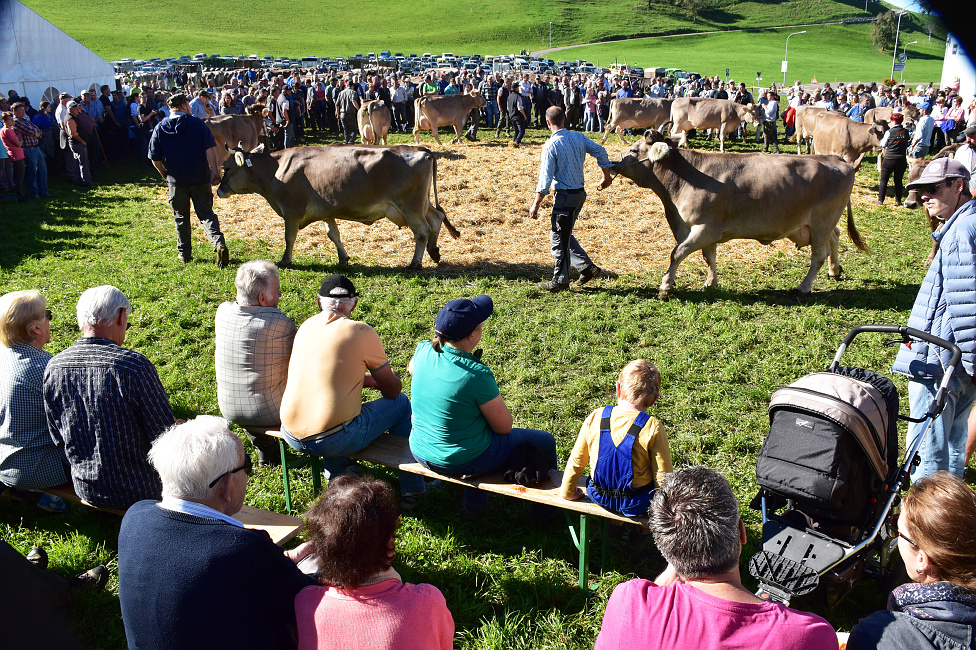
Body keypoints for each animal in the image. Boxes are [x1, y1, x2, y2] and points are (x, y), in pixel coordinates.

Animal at [215, 144, 460, 268]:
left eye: (226, 168)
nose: (218, 190)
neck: (276, 169)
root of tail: (421, 149)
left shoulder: (291, 211)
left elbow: (289, 237)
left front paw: (285, 260)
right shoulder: (326, 210)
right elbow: (334, 234)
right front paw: (343, 258)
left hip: (410, 205)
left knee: (422, 230)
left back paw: (415, 263)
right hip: (421, 203)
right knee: (437, 218)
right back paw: (434, 252)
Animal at [608, 130, 860, 296]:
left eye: (633, 149)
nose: (612, 161)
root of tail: (835, 158)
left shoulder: (706, 228)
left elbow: (677, 252)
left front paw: (666, 286)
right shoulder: (704, 229)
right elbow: (708, 256)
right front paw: (710, 283)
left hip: (822, 221)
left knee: (819, 254)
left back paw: (804, 286)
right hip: (818, 223)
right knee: (835, 236)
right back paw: (834, 270)